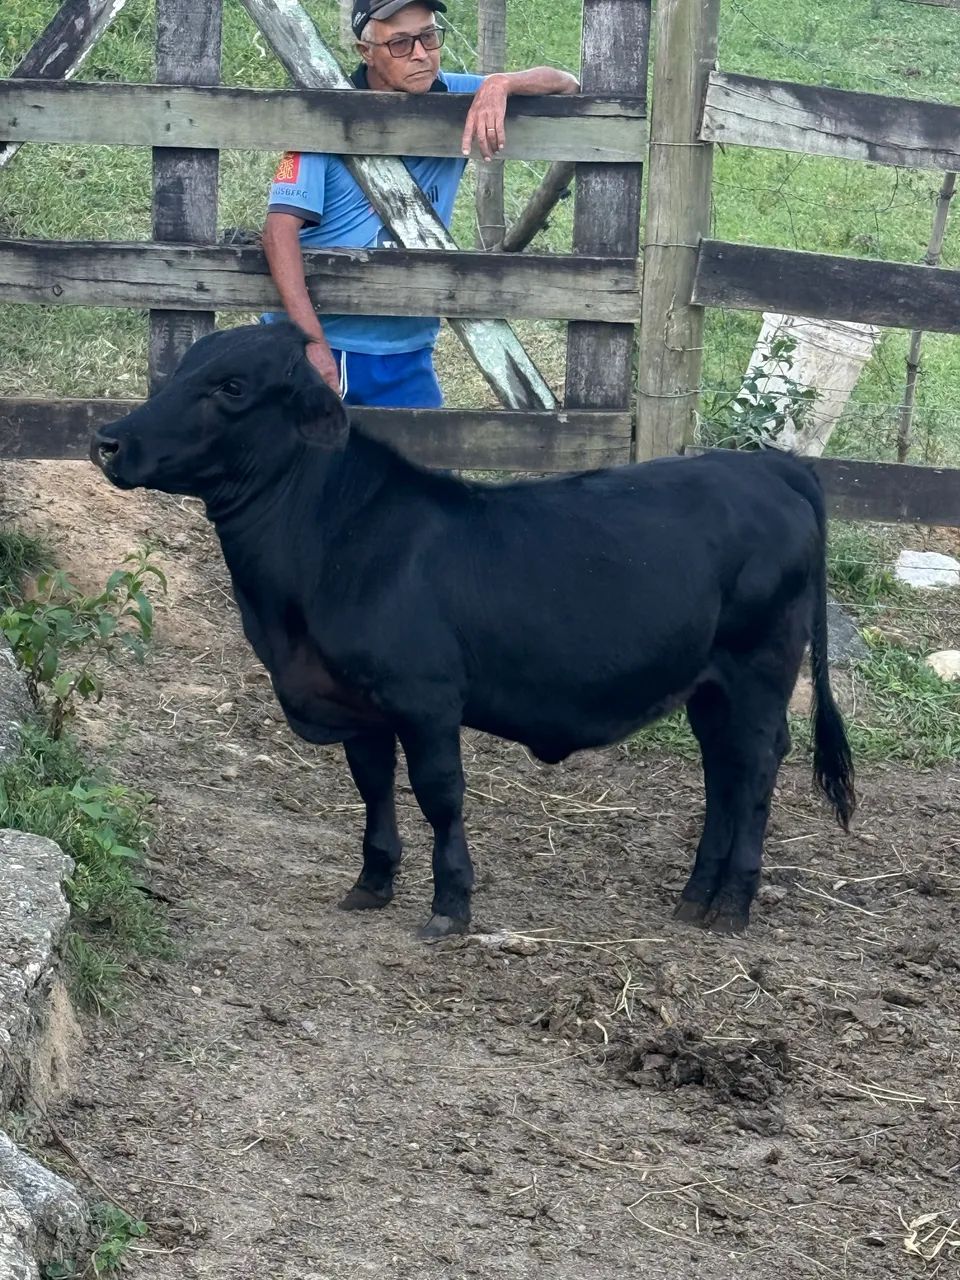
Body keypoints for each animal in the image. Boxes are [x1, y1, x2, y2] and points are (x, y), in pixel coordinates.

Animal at [91, 322, 855, 940]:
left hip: (760, 667)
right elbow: (372, 786)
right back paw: (695, 897)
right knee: (722, 769)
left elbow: (439, 794)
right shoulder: (356, 701)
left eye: (231, 386)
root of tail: (768, 464)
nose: (107, 441)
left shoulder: (426, 699)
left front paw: (450, 906)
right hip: (710, 684)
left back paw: (731, 906)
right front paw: (371, 884)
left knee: (753, 767)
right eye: (182, 369)